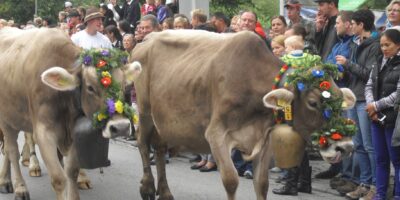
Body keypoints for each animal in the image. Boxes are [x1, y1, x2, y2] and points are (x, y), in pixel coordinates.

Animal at [0, 27, 141, 200]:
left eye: (123, 85)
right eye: (90, 87)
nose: (120, 127)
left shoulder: (73, 132)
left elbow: (71, 172)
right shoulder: (43, 133)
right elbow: (59, 178)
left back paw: (6, 181)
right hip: (6, 120)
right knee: (11, 151)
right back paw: (20, 188)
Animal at [130, 29, 356, 200]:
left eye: (340, 101)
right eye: (313, 103)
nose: (346, 147)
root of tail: (146, 39)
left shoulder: (265, 139)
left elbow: (262, 183)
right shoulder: (216, 134)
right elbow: (231, 180)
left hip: (162, 119)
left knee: (159, 148)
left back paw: (165, 192)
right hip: (145, 110)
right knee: (143, 142)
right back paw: (147, 188)